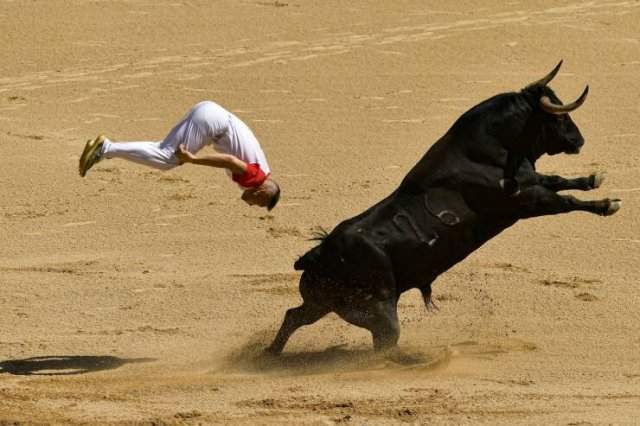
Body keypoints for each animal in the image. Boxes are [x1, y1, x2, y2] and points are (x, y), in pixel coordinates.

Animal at [268, 61, 624, 354]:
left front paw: (593, 178)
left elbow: (558, 180)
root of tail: (320, 252)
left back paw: (271, 354)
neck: (491, 146)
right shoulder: (525, 201)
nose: (579, 141)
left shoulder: (532, 181)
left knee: (293, 316)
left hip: (323, 302)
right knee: (382, 342)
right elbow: (565, 200)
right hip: (379, 309)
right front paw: (607, 204)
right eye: (560, 115)